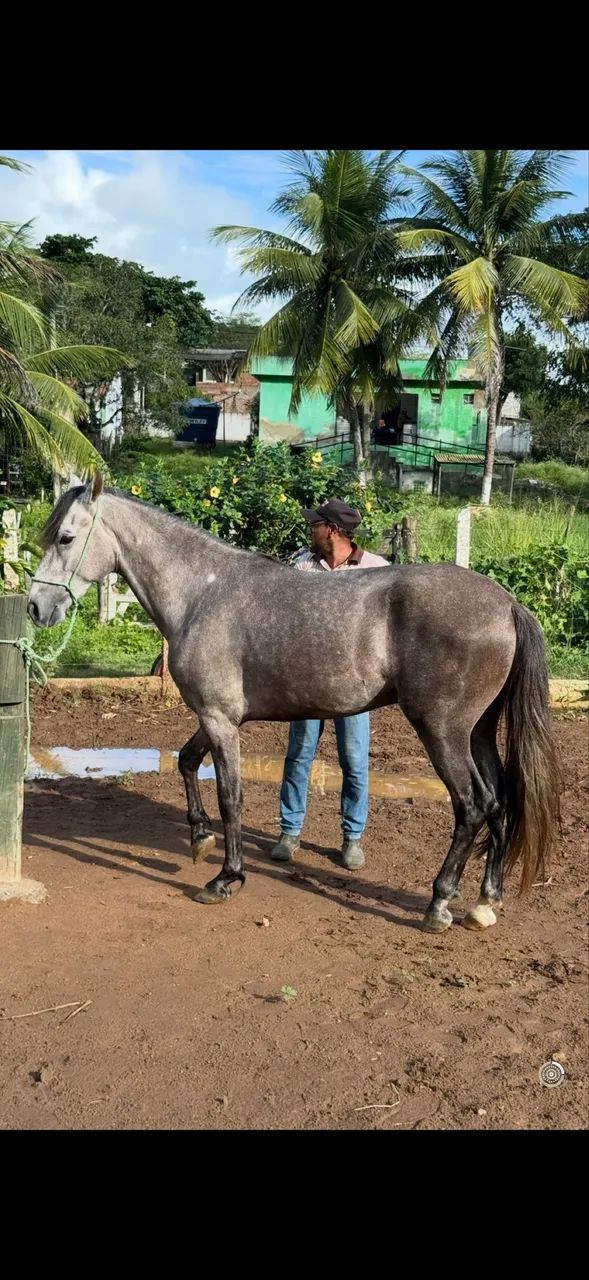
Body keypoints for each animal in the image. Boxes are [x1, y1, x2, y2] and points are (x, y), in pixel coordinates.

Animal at [27, 472, 561, 934]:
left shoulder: (220, 719)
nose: (36, 607)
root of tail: (507, 604)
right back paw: (484, 902)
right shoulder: (216, 716)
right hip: (479, 731)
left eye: (66, 538)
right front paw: (199, 839)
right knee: (501, 801)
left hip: (442, 731)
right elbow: (186, 761)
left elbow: (231, 796)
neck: (202, 592)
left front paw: (226, 877)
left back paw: (439, 903)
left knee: (473, 806)